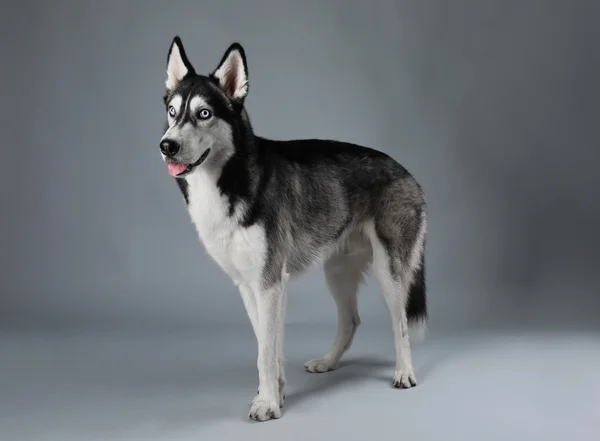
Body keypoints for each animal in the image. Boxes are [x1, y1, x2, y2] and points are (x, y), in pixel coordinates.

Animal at [158, 36, 426, 422]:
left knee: (401, 323)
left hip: (389, 273)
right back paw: (328, 362)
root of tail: (408, 173)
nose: (167, 145)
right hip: (336, 272)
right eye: (172, 112)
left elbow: (266, 352)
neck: (231, 180)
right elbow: (267, 347)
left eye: (204, 114)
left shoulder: (270, 283)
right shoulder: (249, 286)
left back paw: (404, 372)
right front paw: (275, 394)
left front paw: (267, 403)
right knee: (351, 321)